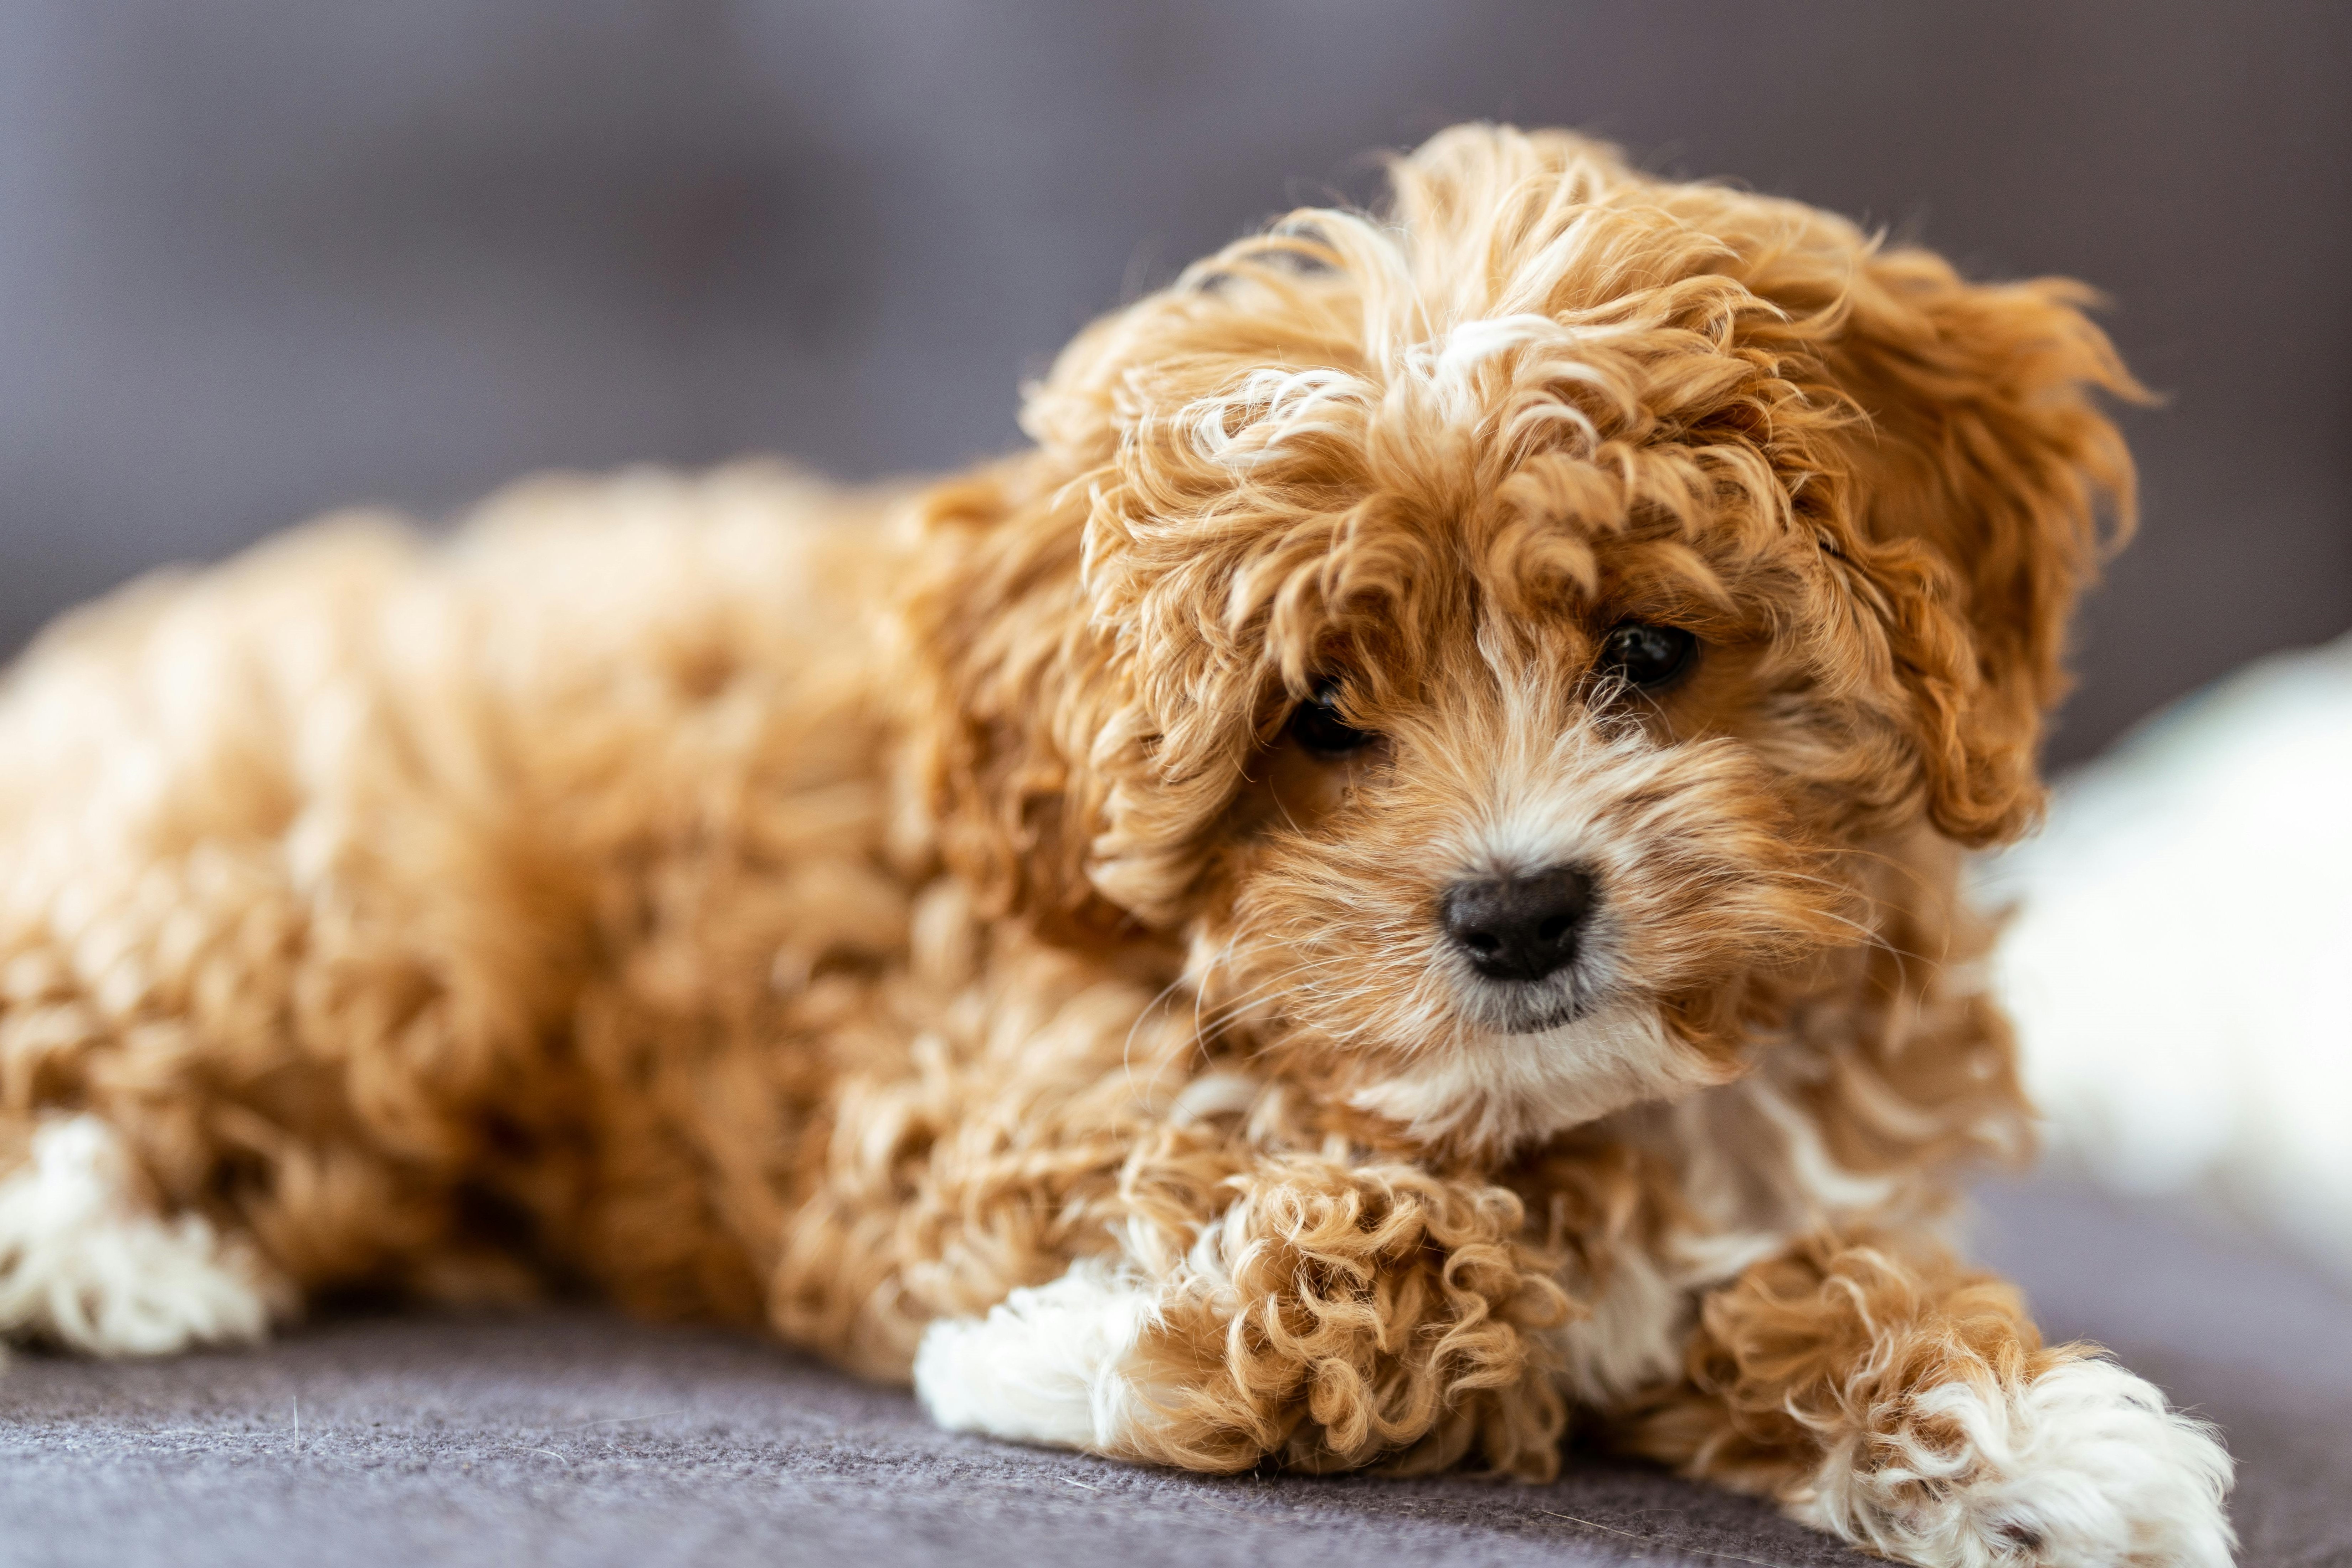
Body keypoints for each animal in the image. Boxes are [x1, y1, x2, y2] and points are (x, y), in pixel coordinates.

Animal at [0, 129, 2239, 1561]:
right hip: (340, 908)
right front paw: (1075, 1346)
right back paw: (96, 1242)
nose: (1519, 908)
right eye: (1318, 715)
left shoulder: (1778, 1179)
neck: (1580, 1109)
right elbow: (1421, 1245)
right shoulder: (948, 1088)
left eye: (1649, 646)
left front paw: (2022, 1434)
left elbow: (1781, 1271)